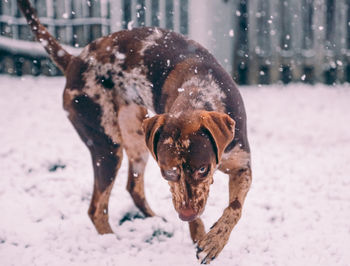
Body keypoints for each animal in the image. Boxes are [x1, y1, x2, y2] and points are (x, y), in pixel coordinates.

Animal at [17, 0, 252, 262]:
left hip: (137, 140)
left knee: (132, 187)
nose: (185, 215)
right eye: (167, 172)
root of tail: (73, 61)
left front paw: (214, 240)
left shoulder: (242, 166)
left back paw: (154, 220)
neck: (198, 92)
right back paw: (112, 241)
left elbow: (234, 208)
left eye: (203, 169)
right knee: (96, 208)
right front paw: (201, 236)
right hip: (107, 145)